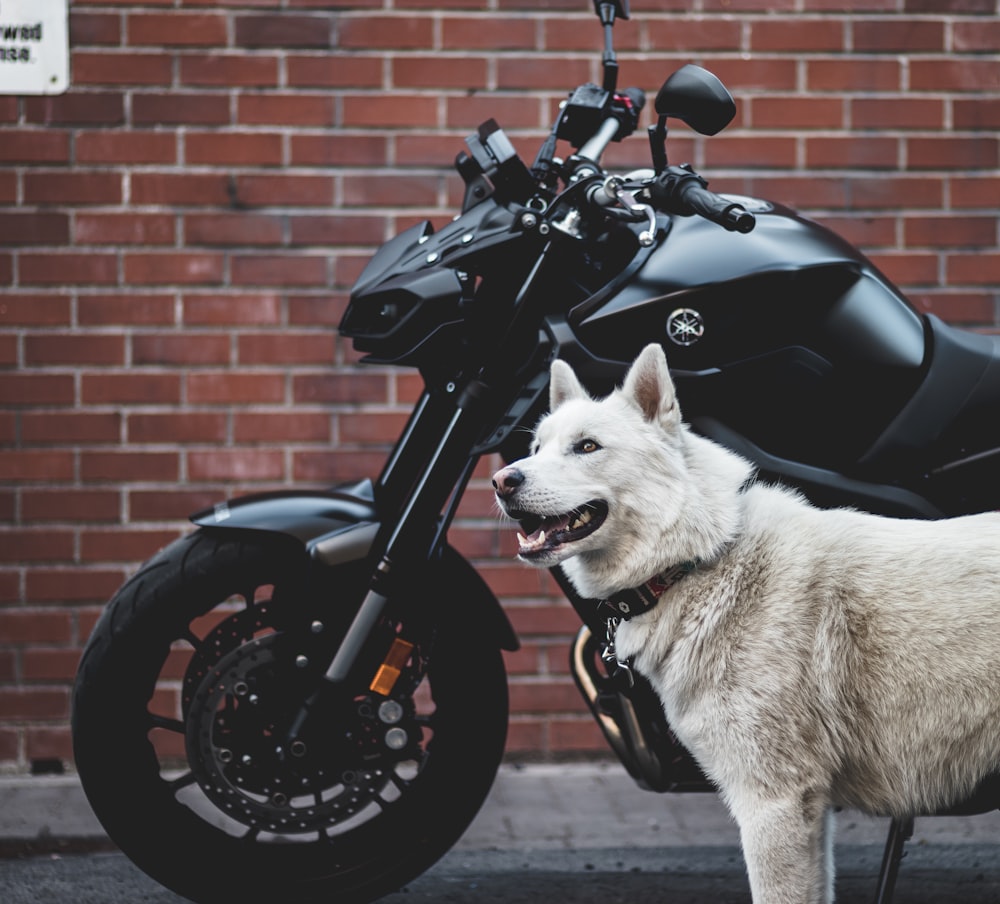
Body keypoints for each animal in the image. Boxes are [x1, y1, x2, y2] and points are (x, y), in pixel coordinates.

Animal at [492, 344, 1000, 904]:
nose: (502, 480)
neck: (700, 562)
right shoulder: (805, 809)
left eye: (587, 446)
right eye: (537, 447)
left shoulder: (773, 801)